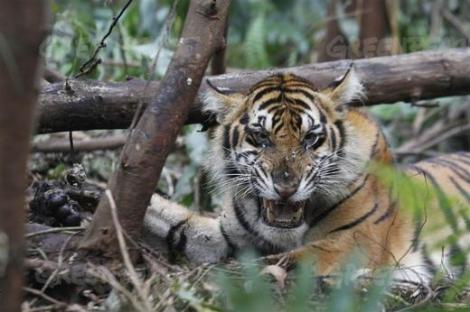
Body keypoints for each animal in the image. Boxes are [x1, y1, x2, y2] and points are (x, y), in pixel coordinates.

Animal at [142, 69, 470, 282]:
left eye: (311, 138)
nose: (286, 187)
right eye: (260, 136)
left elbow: (285, 261)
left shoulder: (355, 241)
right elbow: (178, 223)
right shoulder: (226, 234)